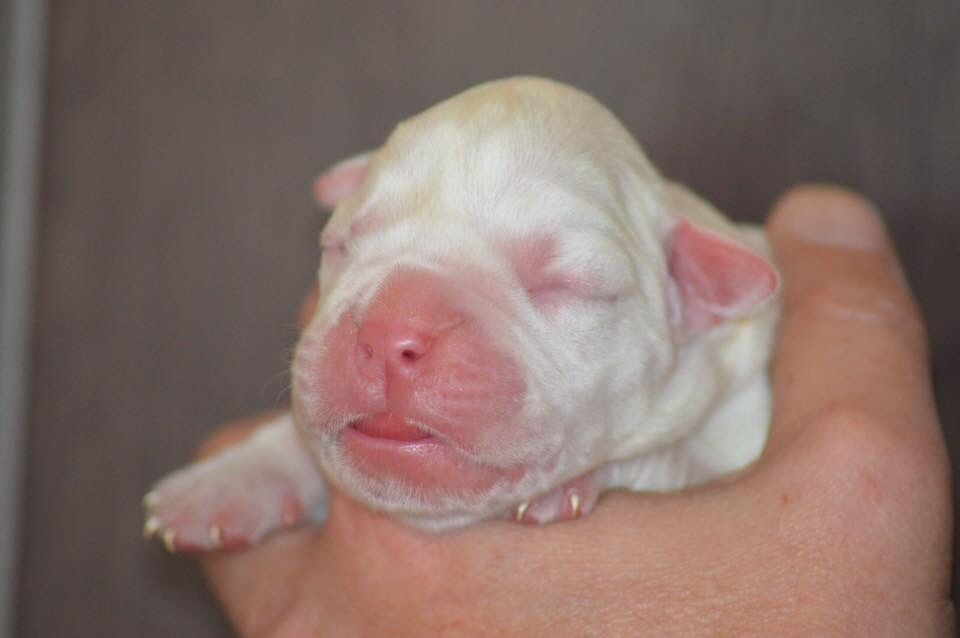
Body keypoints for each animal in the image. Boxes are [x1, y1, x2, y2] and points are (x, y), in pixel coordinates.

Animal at [143, 77, 779, 552]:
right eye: (340, 244)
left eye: (561, 284)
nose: (386, 333)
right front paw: (226, 482)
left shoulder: (740, 419)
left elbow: (672, 458)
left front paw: (575, 485)